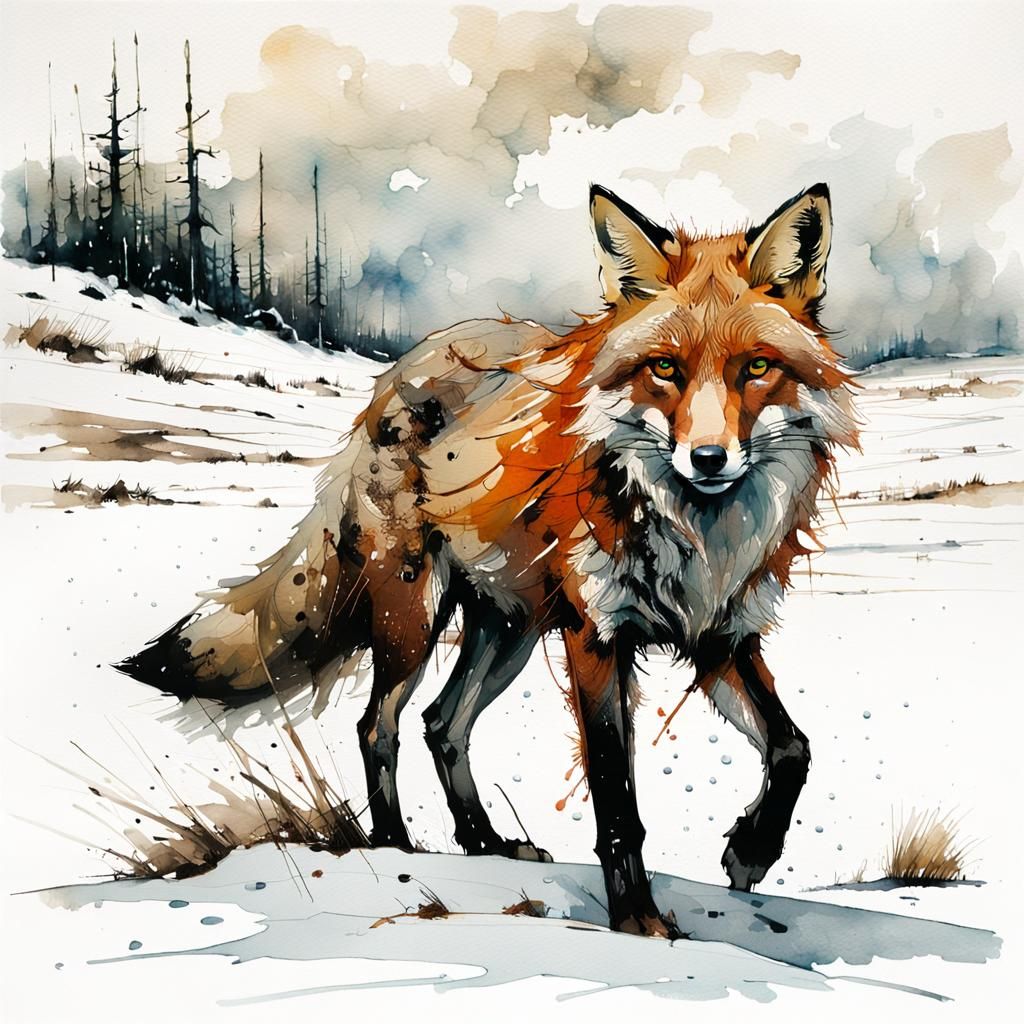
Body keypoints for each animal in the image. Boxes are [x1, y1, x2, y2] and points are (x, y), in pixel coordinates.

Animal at [119, 181, 859, 937]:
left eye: (757, 369)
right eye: (665, 370)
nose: (708, 459)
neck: (698, 538)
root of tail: (403, 367)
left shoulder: (721, 635)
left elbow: (793, 748)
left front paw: (752, 850)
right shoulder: (597, 636)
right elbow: (617, 801)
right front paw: (639, 924)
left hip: (508, 630)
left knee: (442, 725)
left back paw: (483, 843)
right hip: (414, 618)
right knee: (378, 725)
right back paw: (395, 849)